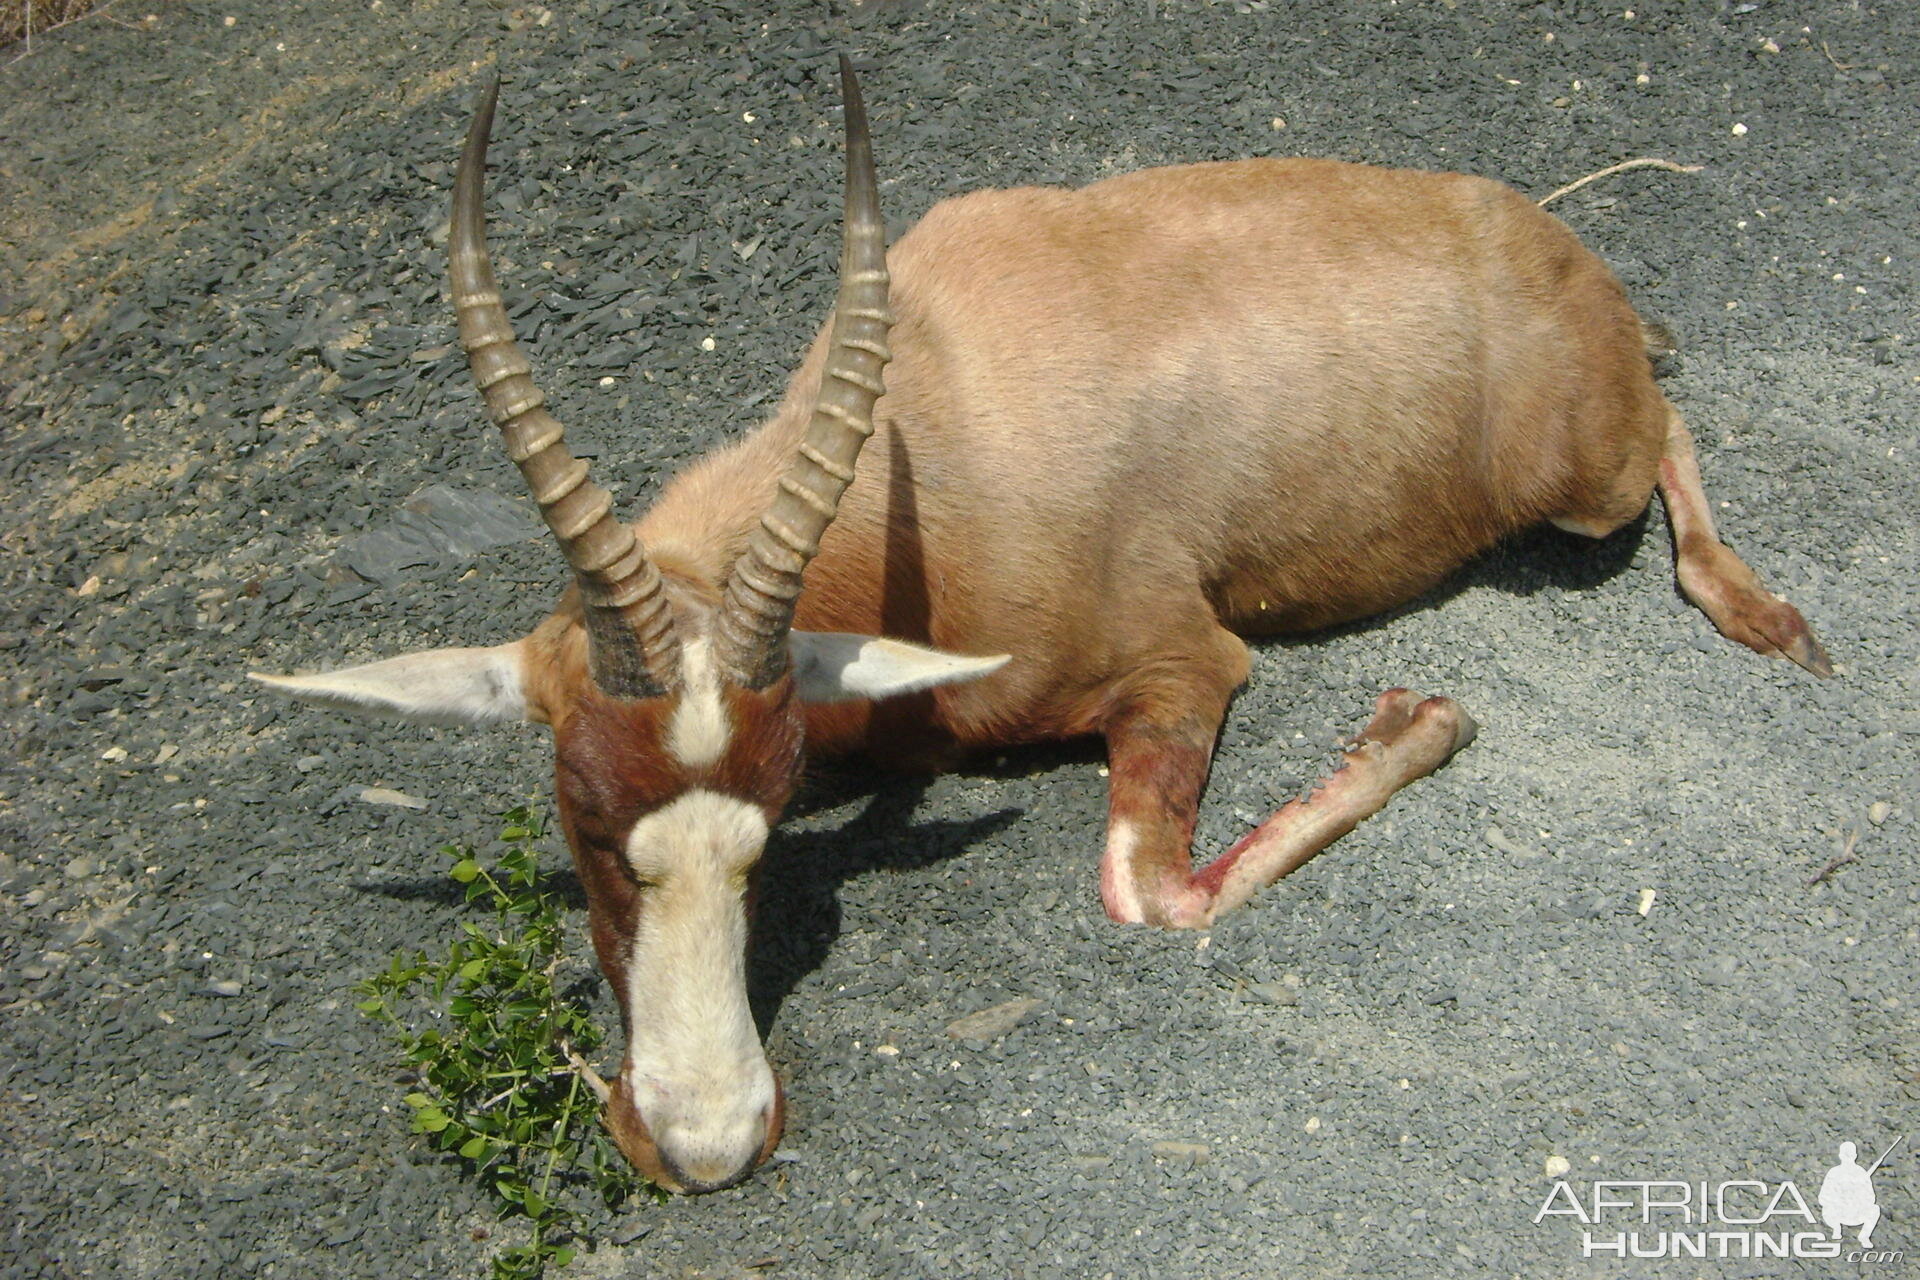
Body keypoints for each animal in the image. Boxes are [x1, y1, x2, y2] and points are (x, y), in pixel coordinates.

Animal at [255, 59, 1827, 1197]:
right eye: (586, 820)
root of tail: (1558, 244)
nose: (704, 1148)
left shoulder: (1184, 666)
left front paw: (1422, 716)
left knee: (1667, 433)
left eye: (765, 828)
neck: (932, 439)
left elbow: (1149, 892)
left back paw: (1766, 613)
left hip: (1583, 488)